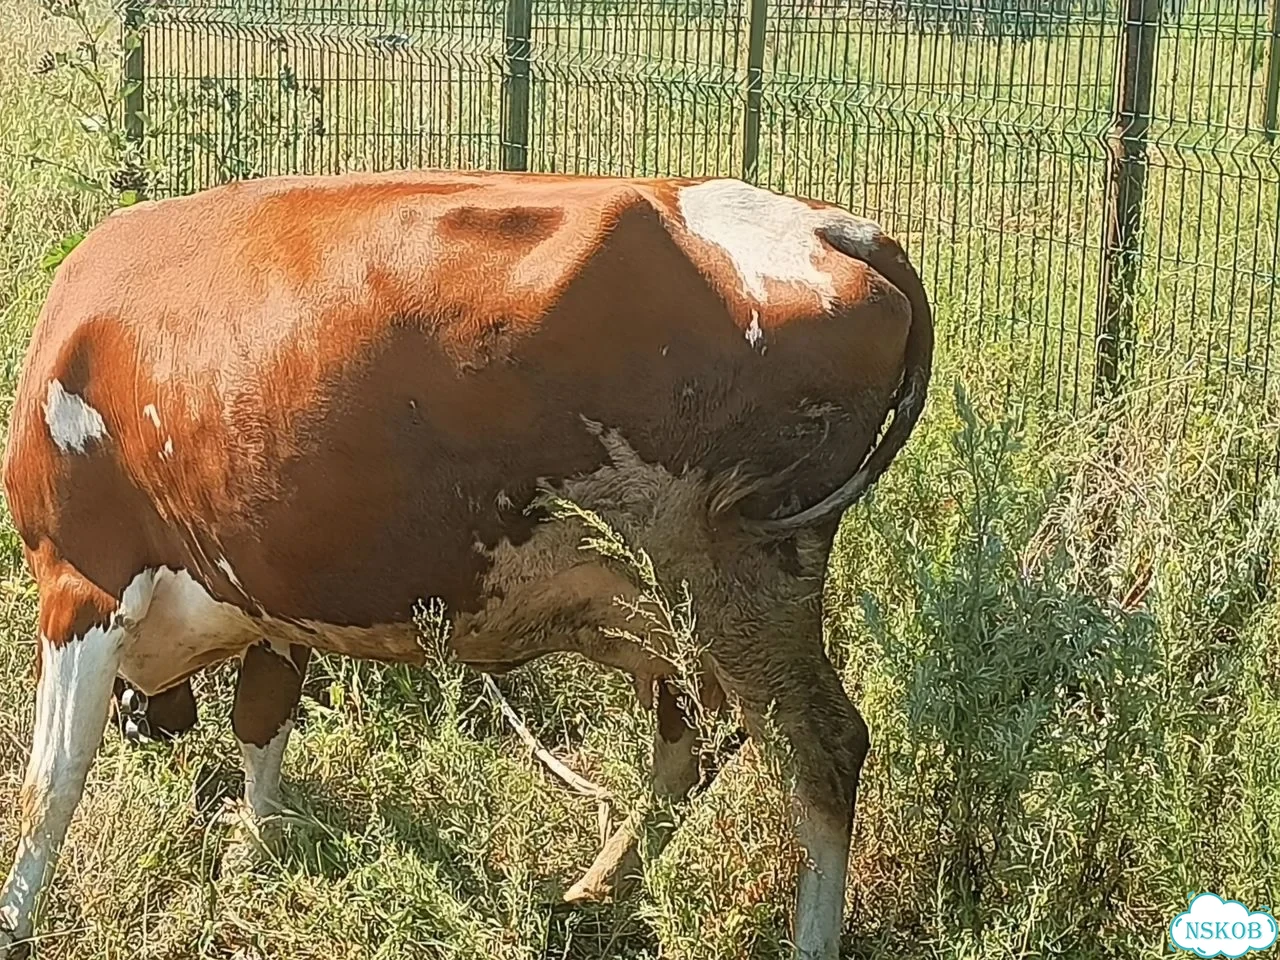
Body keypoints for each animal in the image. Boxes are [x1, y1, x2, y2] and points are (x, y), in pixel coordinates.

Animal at [0, 169, 932, 960]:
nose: (150, 722)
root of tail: (830, 224)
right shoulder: (270, 594)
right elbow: (263, 731)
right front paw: (249, 860)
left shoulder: (81, 577)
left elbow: (52, 780)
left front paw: (17, 915)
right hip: (679, 606)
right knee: (695, 741)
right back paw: (595, 890)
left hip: (739, 582)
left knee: (823, 747)